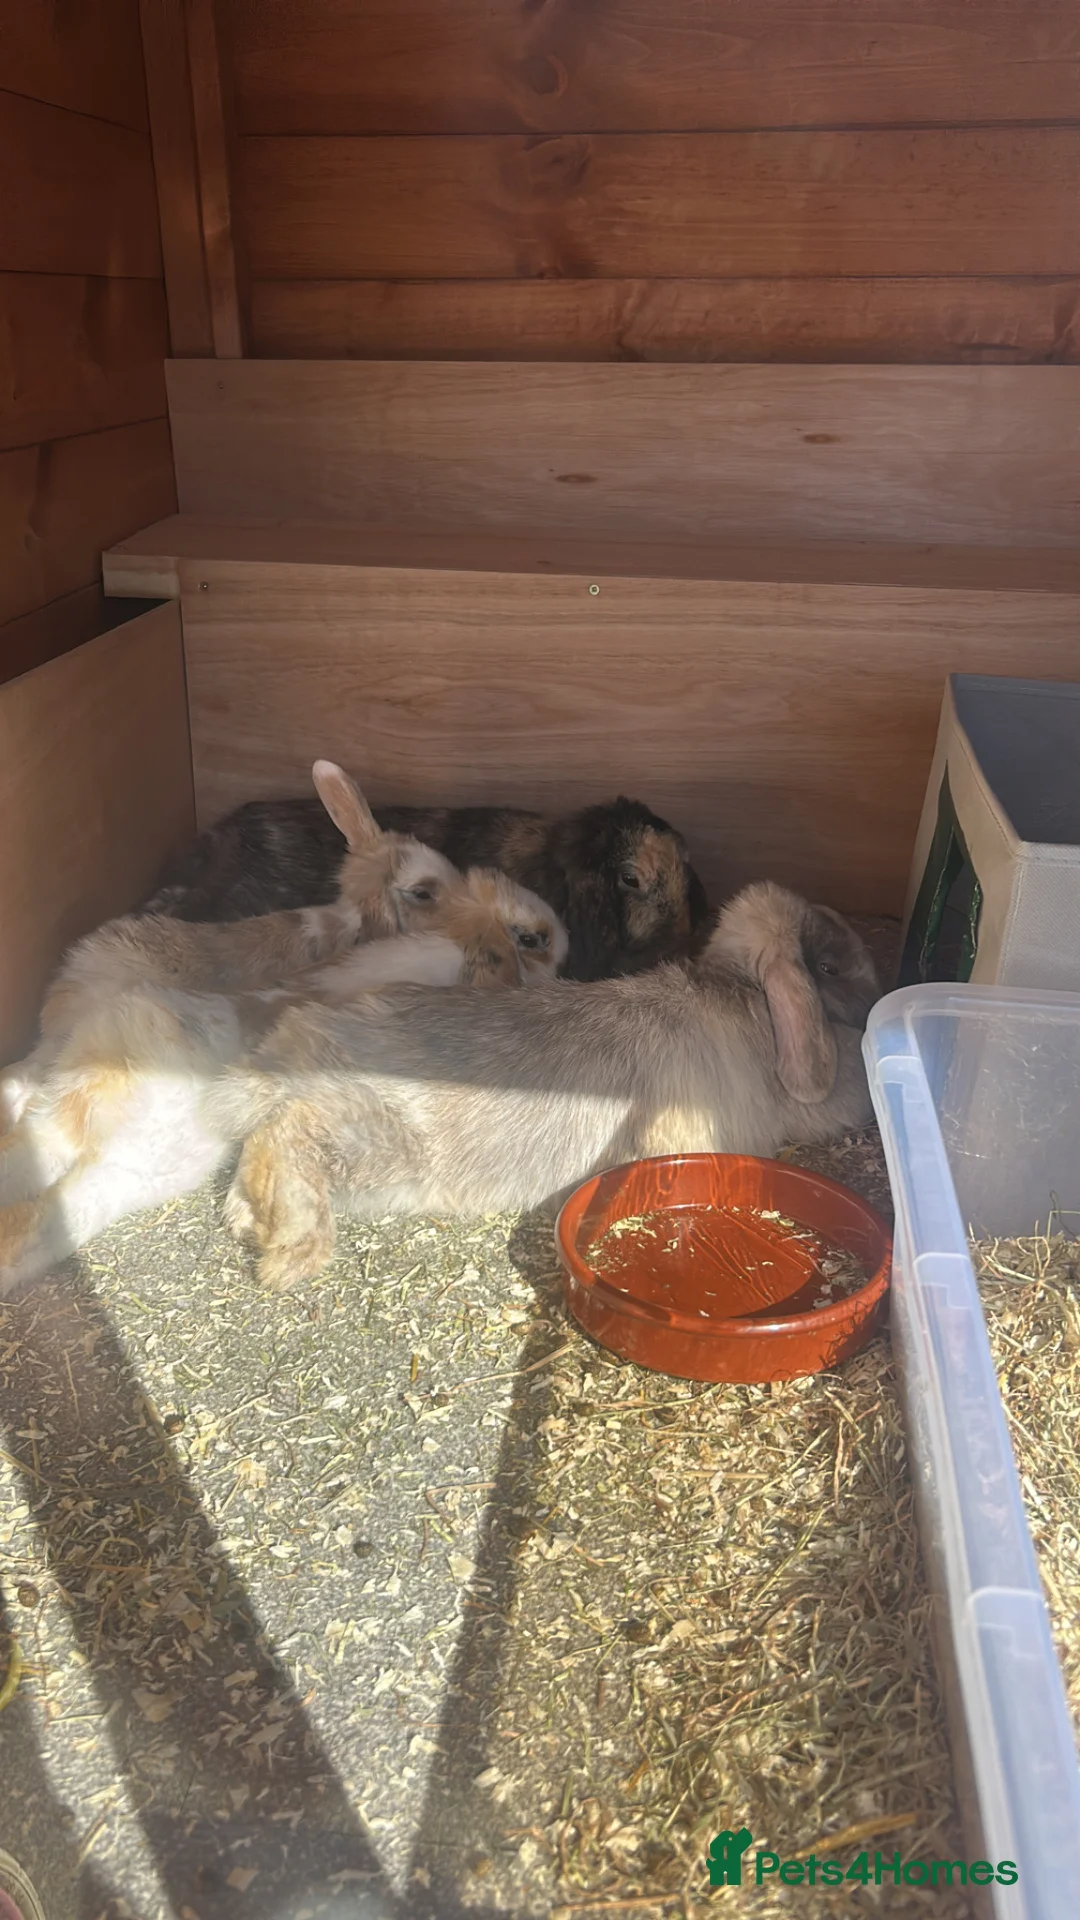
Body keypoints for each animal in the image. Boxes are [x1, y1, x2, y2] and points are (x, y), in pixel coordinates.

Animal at [216, 881, 881, 1292]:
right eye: (828, 967)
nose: (879, 1001)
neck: (746, 996)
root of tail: (282, 1052)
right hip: (369, 1143)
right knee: (285, 1137)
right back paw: (293, 1255)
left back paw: (249, 1224)